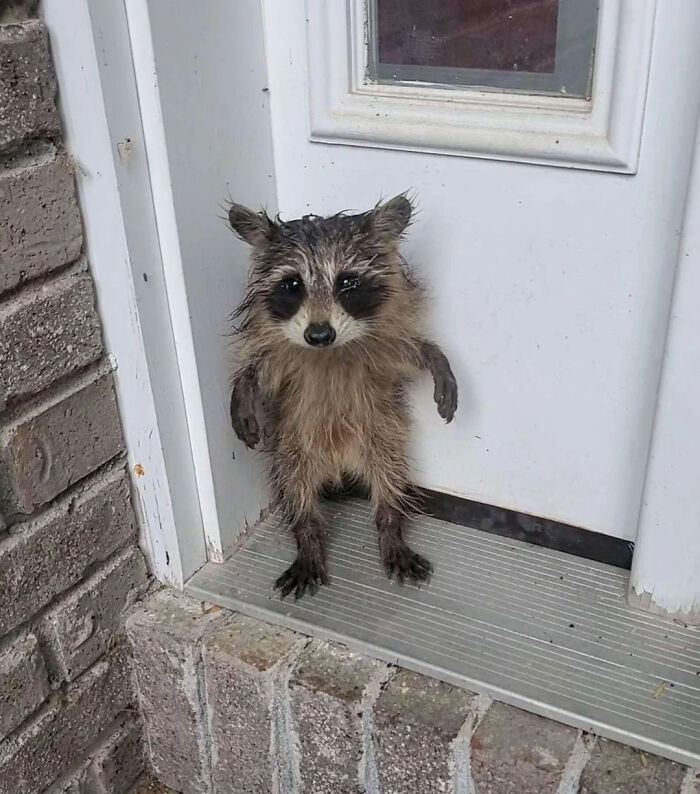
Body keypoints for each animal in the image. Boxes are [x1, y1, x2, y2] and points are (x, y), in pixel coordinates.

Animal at [228, 195, 458, 599]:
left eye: (347, 282)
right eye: (292, 284)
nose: (319, 335)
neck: (330, 352)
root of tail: (340, 467)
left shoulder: (383, 347)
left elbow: (412, 351)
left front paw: (436, 358)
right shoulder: (280, 355)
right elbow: (257, 369)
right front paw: (242, 389)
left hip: (380, 434)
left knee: (390, 478)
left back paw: (390, 525)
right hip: (293, 444)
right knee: (295, 487)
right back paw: (307, 535)